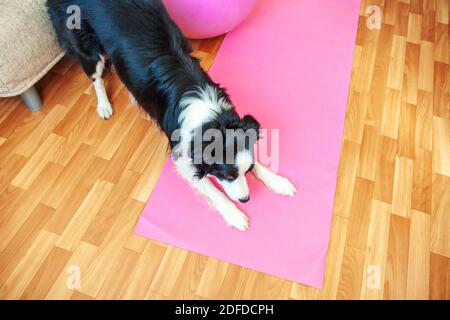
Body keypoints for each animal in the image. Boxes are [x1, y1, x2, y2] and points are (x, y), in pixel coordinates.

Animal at [47, 0, 298, 230]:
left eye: (246, 171)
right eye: (227, 176)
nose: (246, 199)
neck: (210, 117)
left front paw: (277, 181)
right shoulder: (182, 154)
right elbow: (212, 189)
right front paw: (234, 214)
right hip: (85, 42)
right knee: (95, 76)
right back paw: (104, 105)